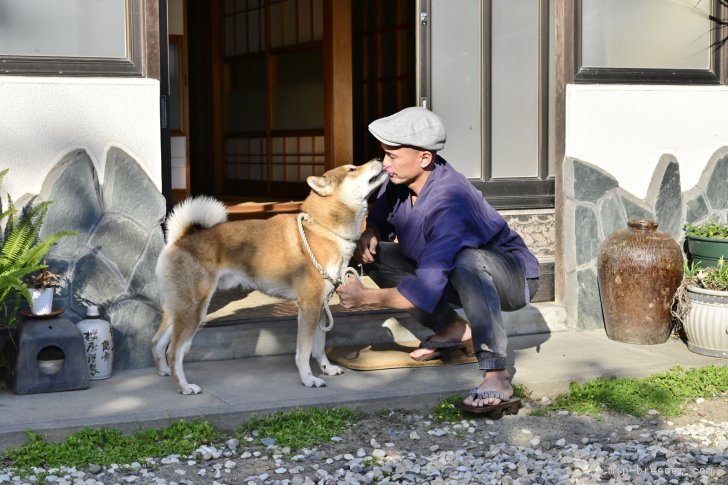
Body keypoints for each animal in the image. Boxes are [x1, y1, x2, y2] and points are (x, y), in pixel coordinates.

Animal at [150, 159, 384, 394]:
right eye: (352, 169)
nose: (378, 160)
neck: (322, 228)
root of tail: (180, 239)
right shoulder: (309, 306)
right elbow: (304, 351)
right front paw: (308, 379)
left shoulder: (321, 307)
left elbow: (319, 347)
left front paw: (326, 368)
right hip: (195, 310)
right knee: (173, 352)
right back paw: (184, 386)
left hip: (179, 309)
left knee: (156, 342)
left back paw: (164, 371)